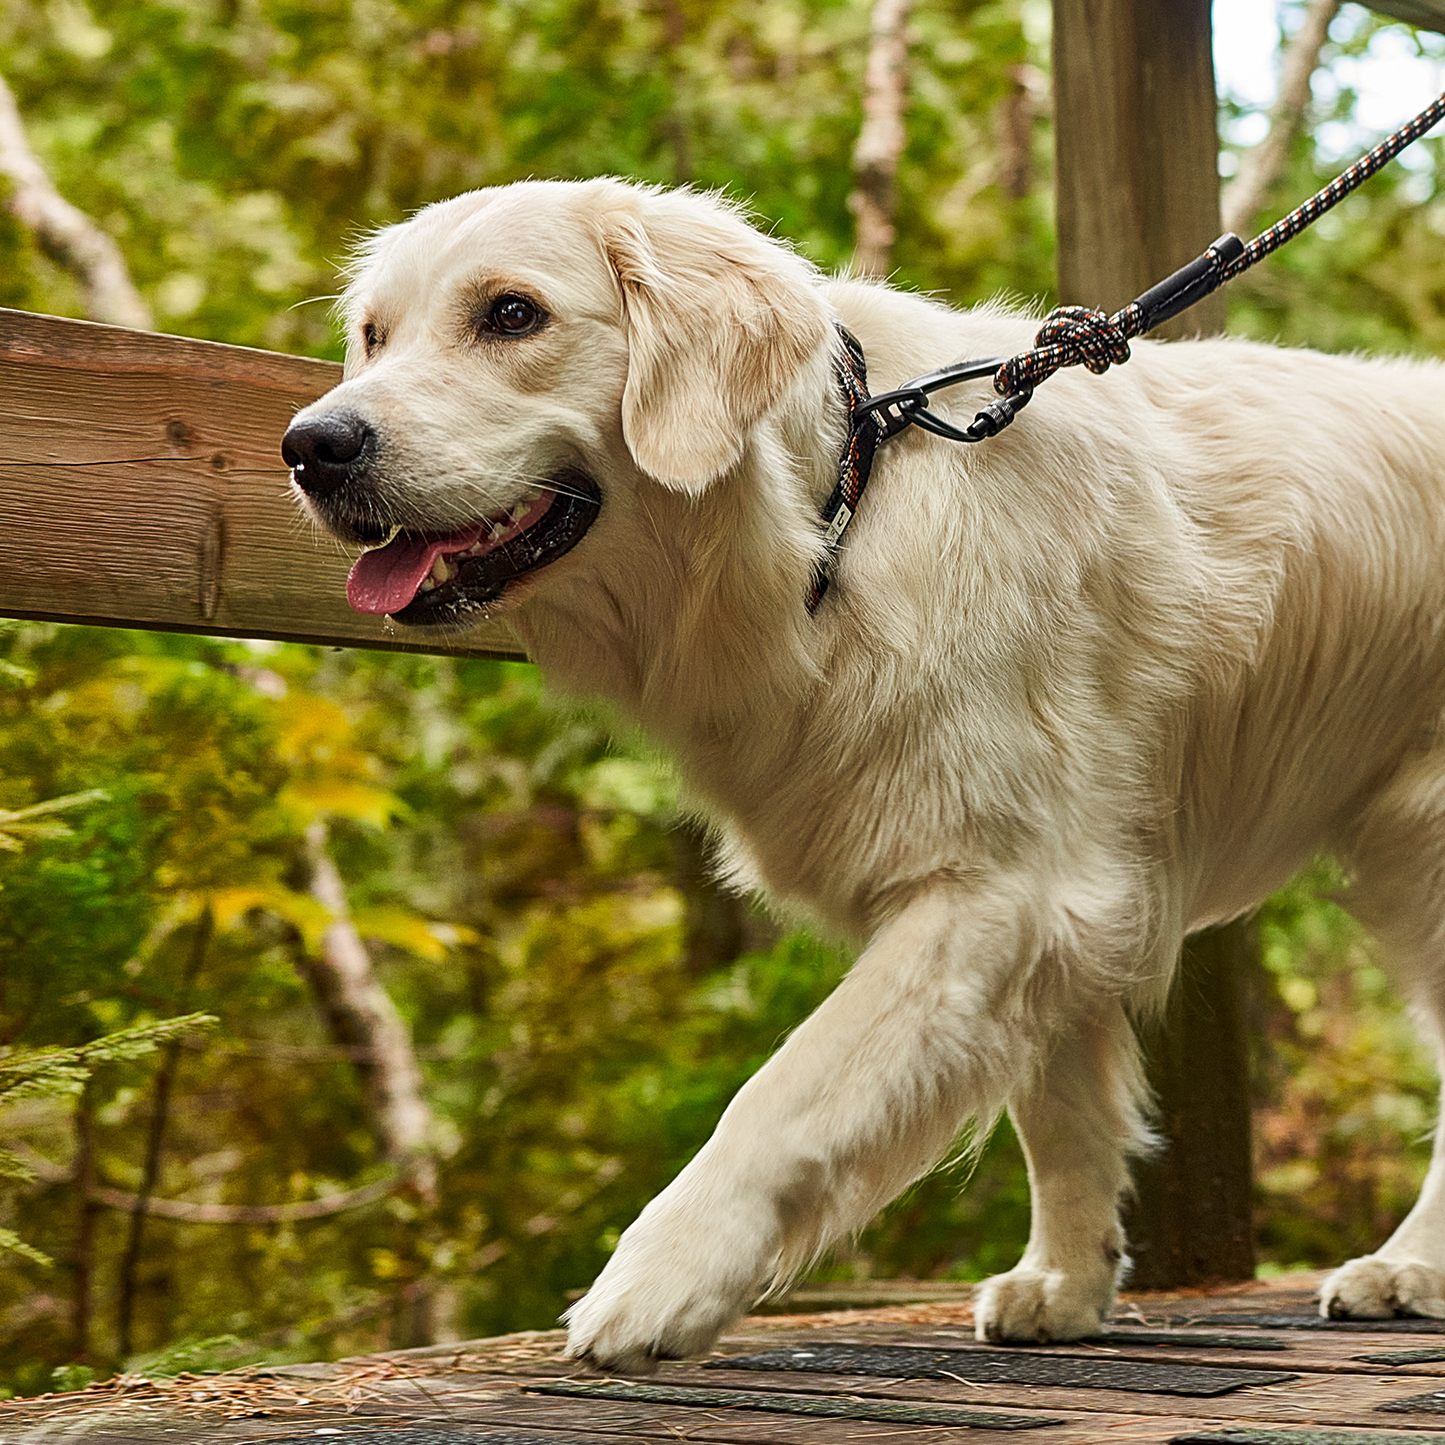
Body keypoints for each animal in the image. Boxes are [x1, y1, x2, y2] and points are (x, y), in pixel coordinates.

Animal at [281, 177, 1445, 1364]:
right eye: (371, 335)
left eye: (512, 315)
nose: (310, 445)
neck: (837, 504)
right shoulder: (1061, 887)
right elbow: (1061, 1111)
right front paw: (1067, 1280)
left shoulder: (998, 884)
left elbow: (784, 1092)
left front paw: (657, 1282)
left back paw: (1410, 1264)